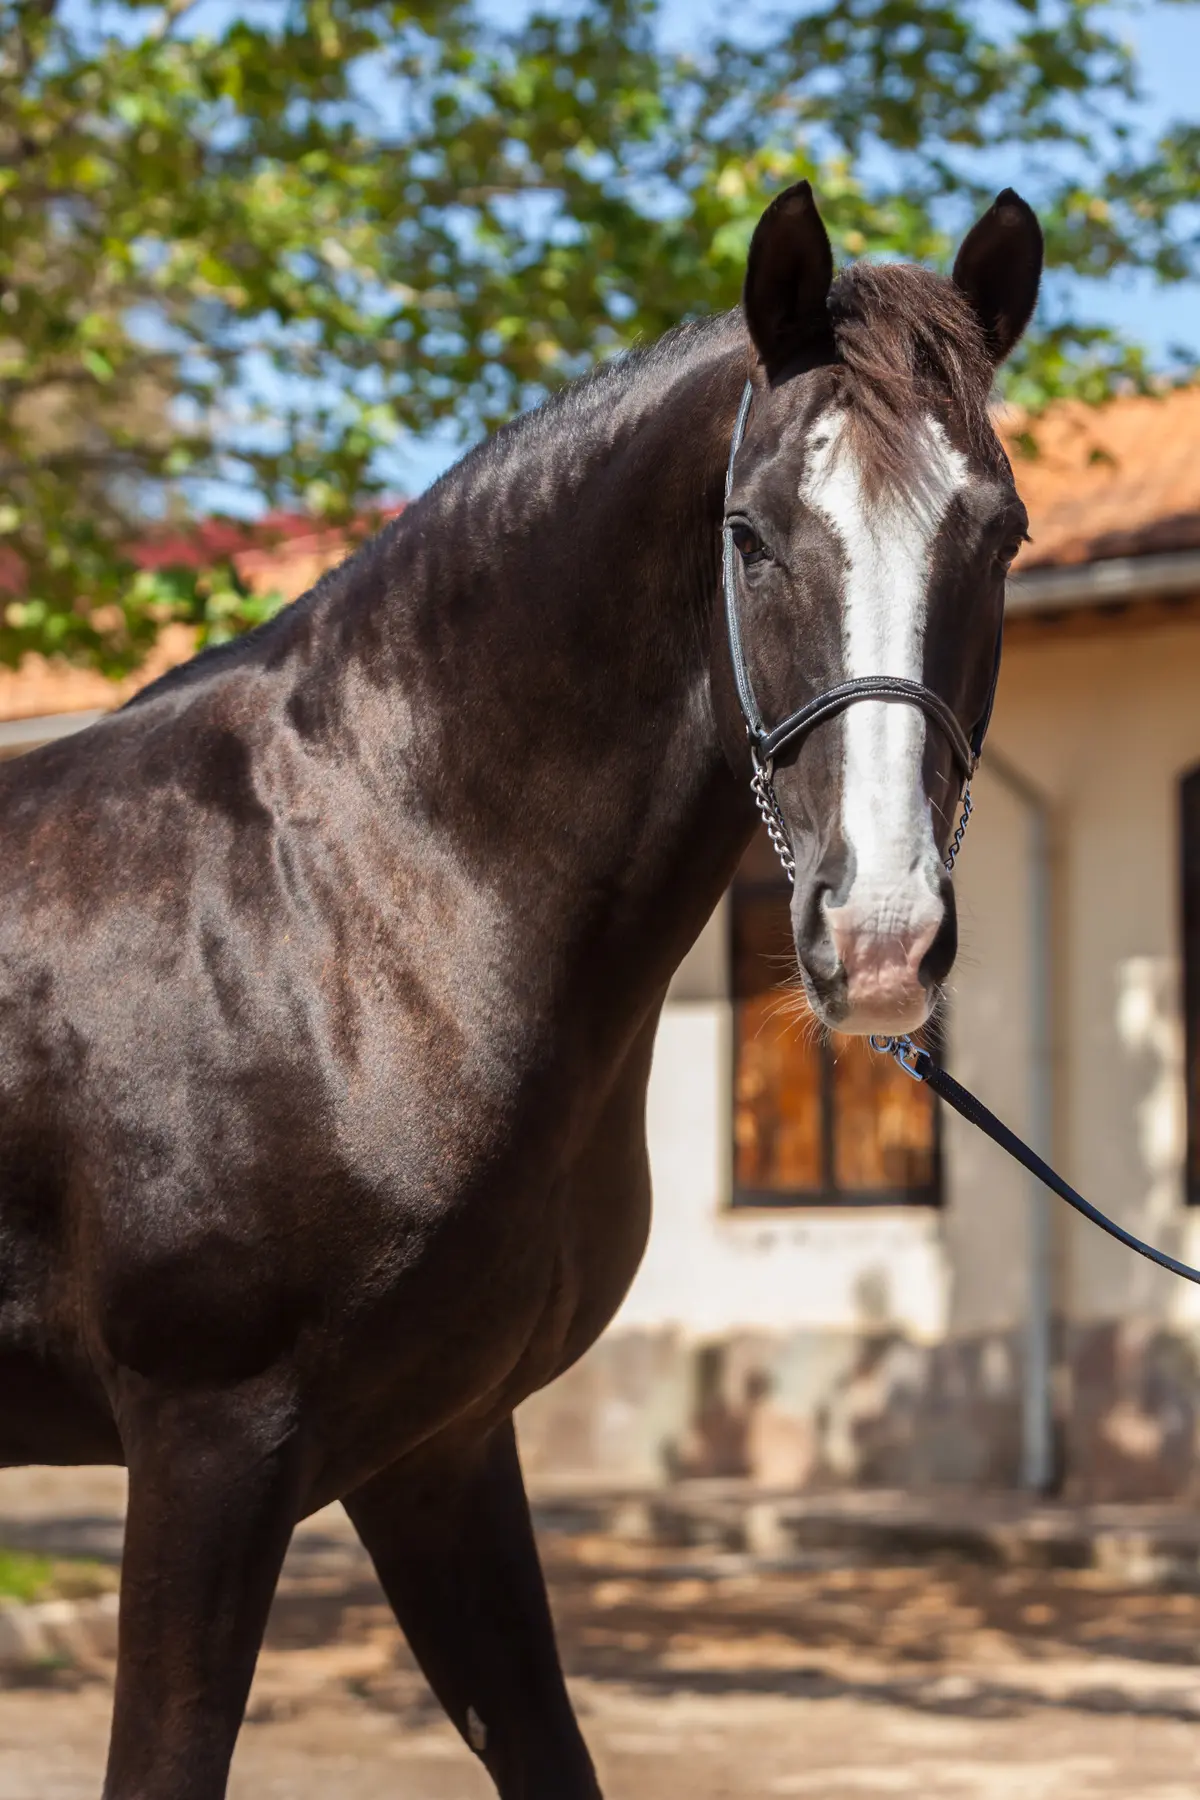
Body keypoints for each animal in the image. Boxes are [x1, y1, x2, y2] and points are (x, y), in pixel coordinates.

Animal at [0, 180, 1041, 1798]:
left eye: (997, 536)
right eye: (751, 536)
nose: (879, 935)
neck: (360, 899)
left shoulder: (440, 1448)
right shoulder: (204, 1448)